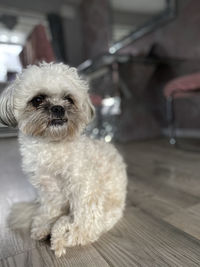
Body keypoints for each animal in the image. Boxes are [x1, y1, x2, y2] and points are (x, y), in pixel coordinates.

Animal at [0, 62, 127, 258]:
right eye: (38, 100)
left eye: (69, 99)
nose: (58, 108)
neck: (53, 145)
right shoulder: (48, 189)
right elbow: (51, 210)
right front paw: (45, 224)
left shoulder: (84, 186)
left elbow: (84, 221)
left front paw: (69, 235)